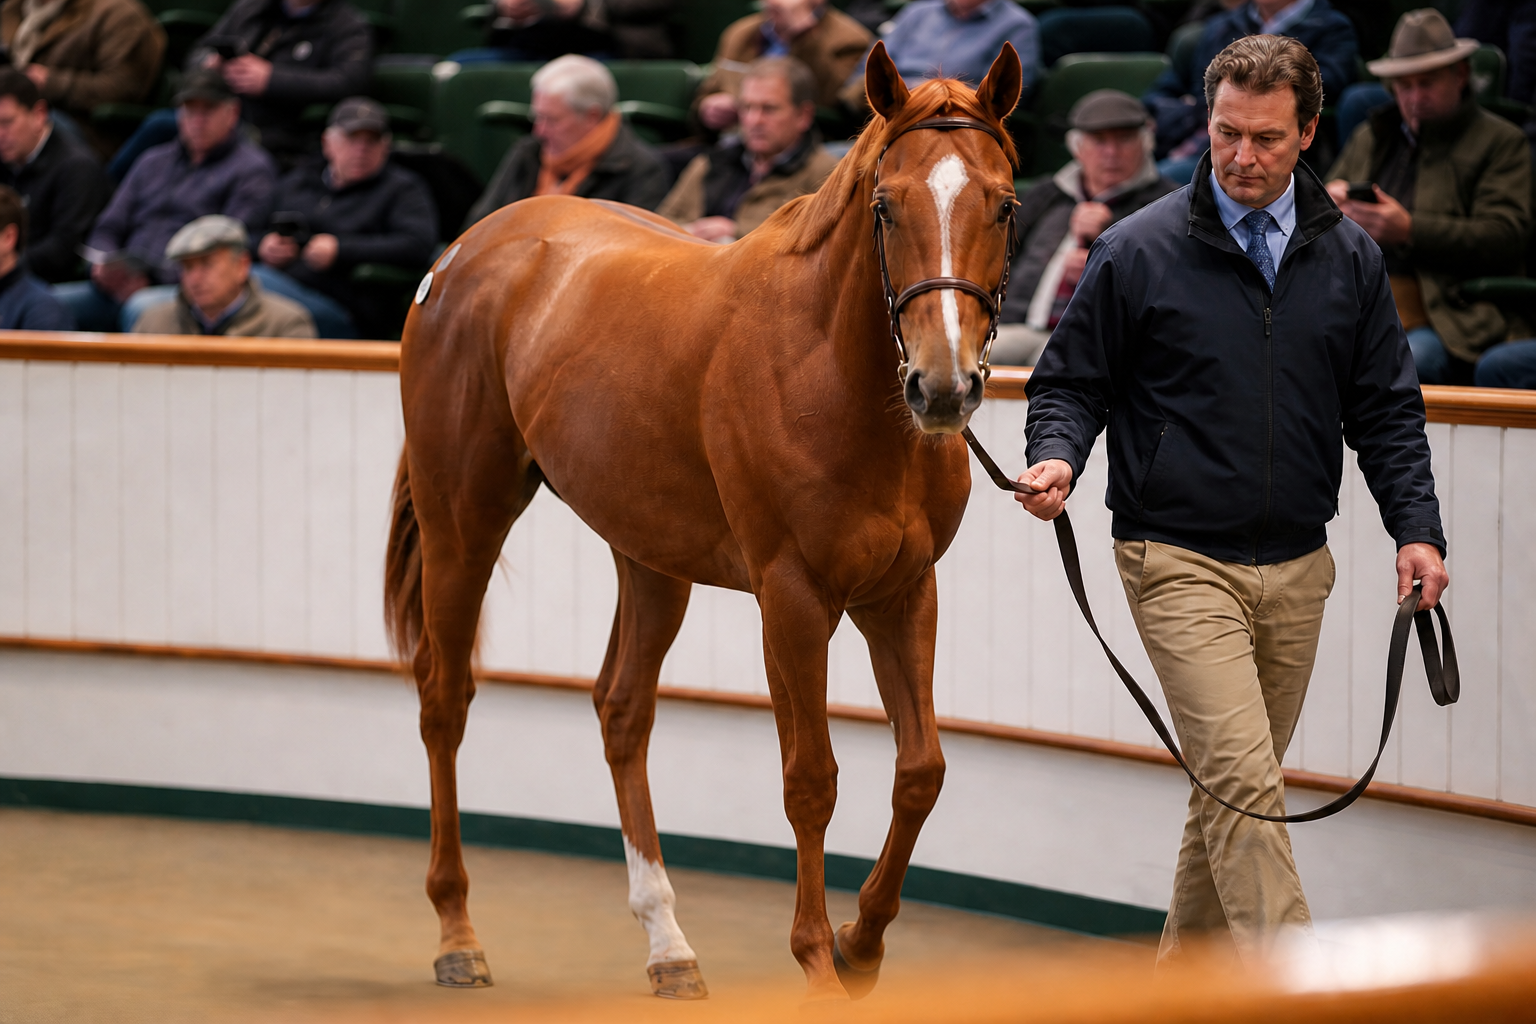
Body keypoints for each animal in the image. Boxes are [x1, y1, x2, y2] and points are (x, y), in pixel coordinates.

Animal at [383, 41, 1023, 1001]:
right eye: (885, 206)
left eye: (1005, 205)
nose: (943, 387)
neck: (831, 373)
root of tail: (464, 252)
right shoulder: (792, 598)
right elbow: (811, 779)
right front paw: (817, 958)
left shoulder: (903, 592)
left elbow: (921, 771)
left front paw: (861, 944)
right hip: (466, 517)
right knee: (443, 700)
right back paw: (458, 933)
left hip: (650, 554)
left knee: (621, 710)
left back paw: (669, 947)